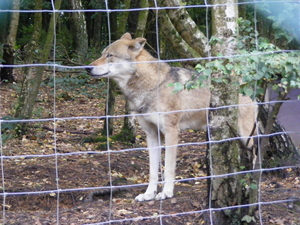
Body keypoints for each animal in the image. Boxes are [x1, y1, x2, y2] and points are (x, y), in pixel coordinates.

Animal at [85, 33, 256, 202]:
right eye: (102, 54)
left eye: (110, 55)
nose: (87, 67)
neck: (153, 85)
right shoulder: (152, 135)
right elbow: (153, 171)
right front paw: (149, 194)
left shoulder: (171, 132)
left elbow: (168, 168)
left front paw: (166, 192)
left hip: (246, 135)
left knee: (255, 156)